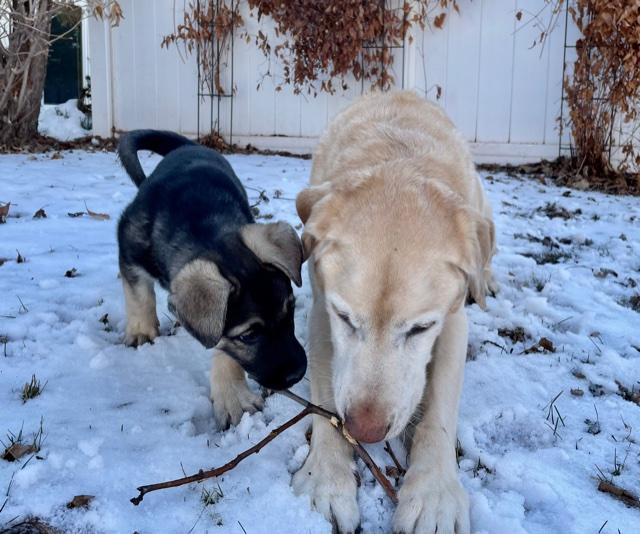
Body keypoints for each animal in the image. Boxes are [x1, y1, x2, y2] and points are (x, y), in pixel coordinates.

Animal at [118, 132, 308, 430]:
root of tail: (191, 146)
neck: (202, 229)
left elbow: (223, 347)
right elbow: (138, 293)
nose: (298, 374)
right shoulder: (129, 248)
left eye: (290, 311)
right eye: (249, 335)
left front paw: (232, 396)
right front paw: (141, 331)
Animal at [292, 91, 498, 532]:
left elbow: (440, 409)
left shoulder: (452, 322)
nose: (366, 431)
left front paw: (434, 493)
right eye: (345, 318)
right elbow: (326, 394)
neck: (398, 160)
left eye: (421, 328)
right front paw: (327, 478)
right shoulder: (321, 311)